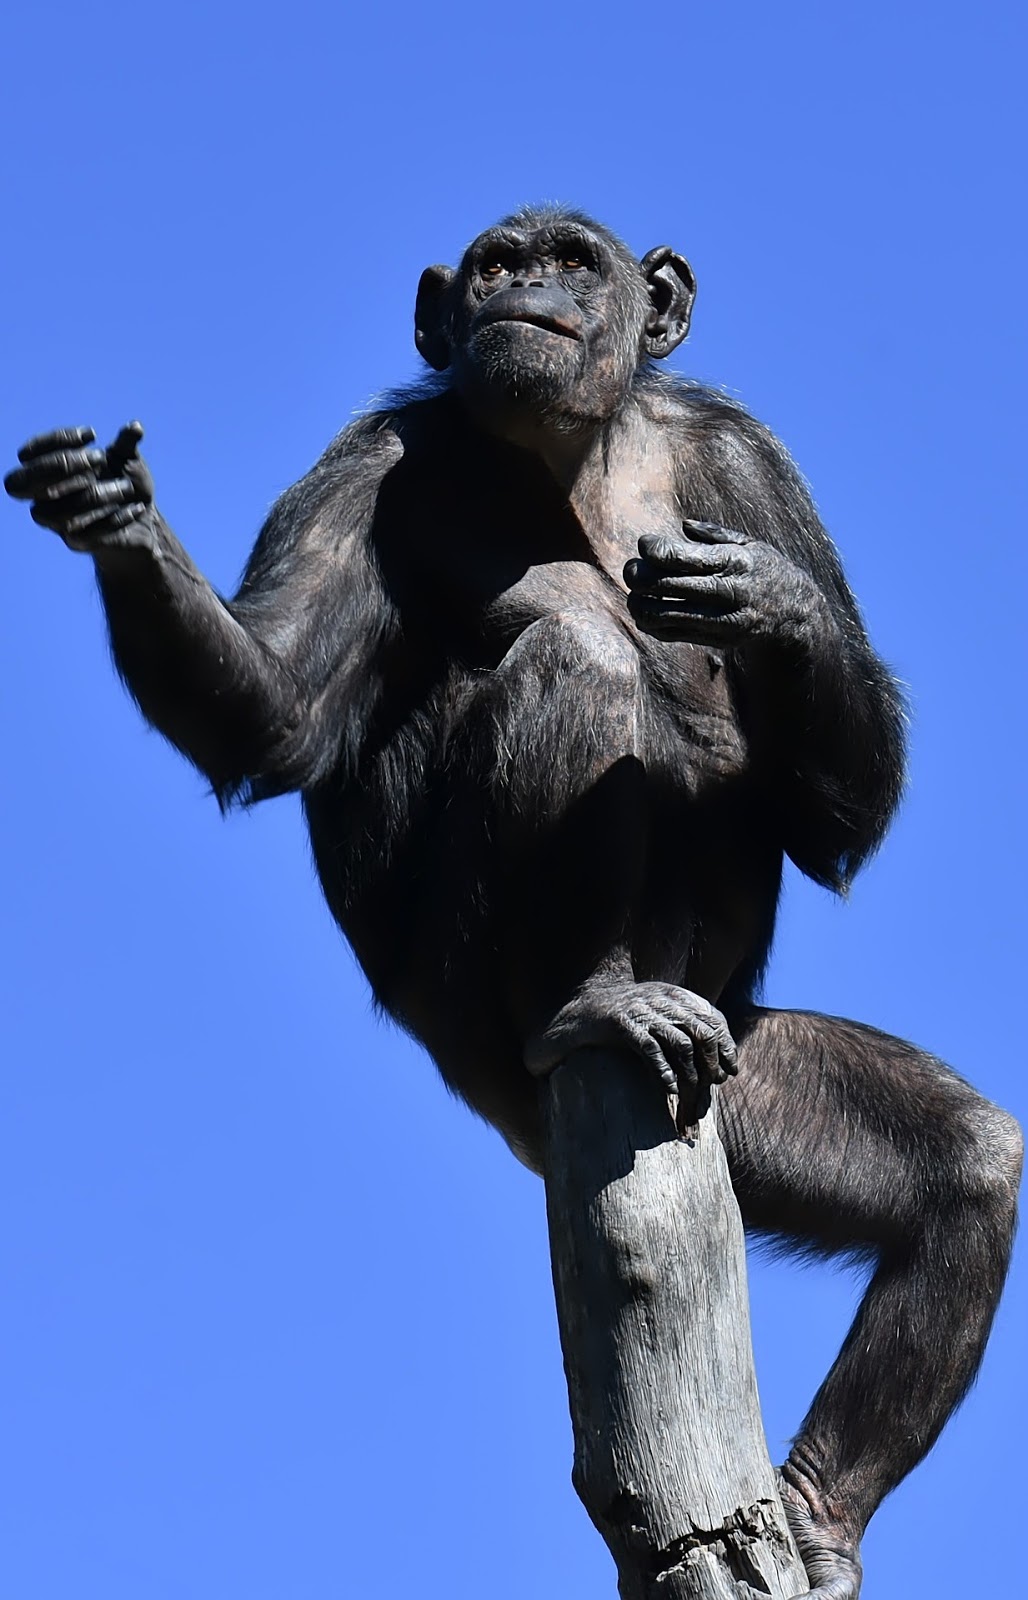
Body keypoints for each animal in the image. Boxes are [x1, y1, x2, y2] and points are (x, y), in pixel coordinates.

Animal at [6, 212, 1018, 1600]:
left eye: (573, 260)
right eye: (494, 263)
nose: (526, 286)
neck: (568, 451)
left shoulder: (749, 461)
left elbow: (838, 823)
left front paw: (774, 603)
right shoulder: (360, 464)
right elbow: (282, 708)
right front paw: (120, 524)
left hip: (736, 1083)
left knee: (964, 1165)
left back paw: (815, 1512)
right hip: (469, 1007)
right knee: (574, 654)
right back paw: (589, 1002)